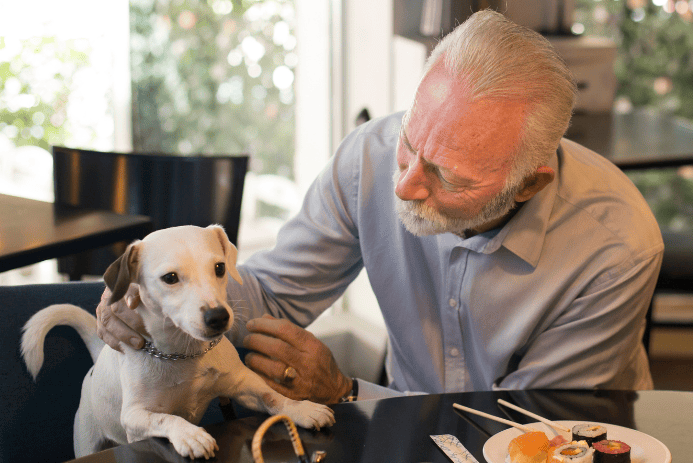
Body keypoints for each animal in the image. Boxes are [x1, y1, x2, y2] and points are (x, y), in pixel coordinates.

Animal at [20, 226, 334, 460]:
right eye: (170, 277)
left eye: (220, 268)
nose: (218, 317)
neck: (184, 355)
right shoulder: (135, 417)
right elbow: (166, 419)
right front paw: (189, 434)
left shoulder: (242, 385)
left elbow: (272, 397)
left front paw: (301, 408)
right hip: (88, 439)